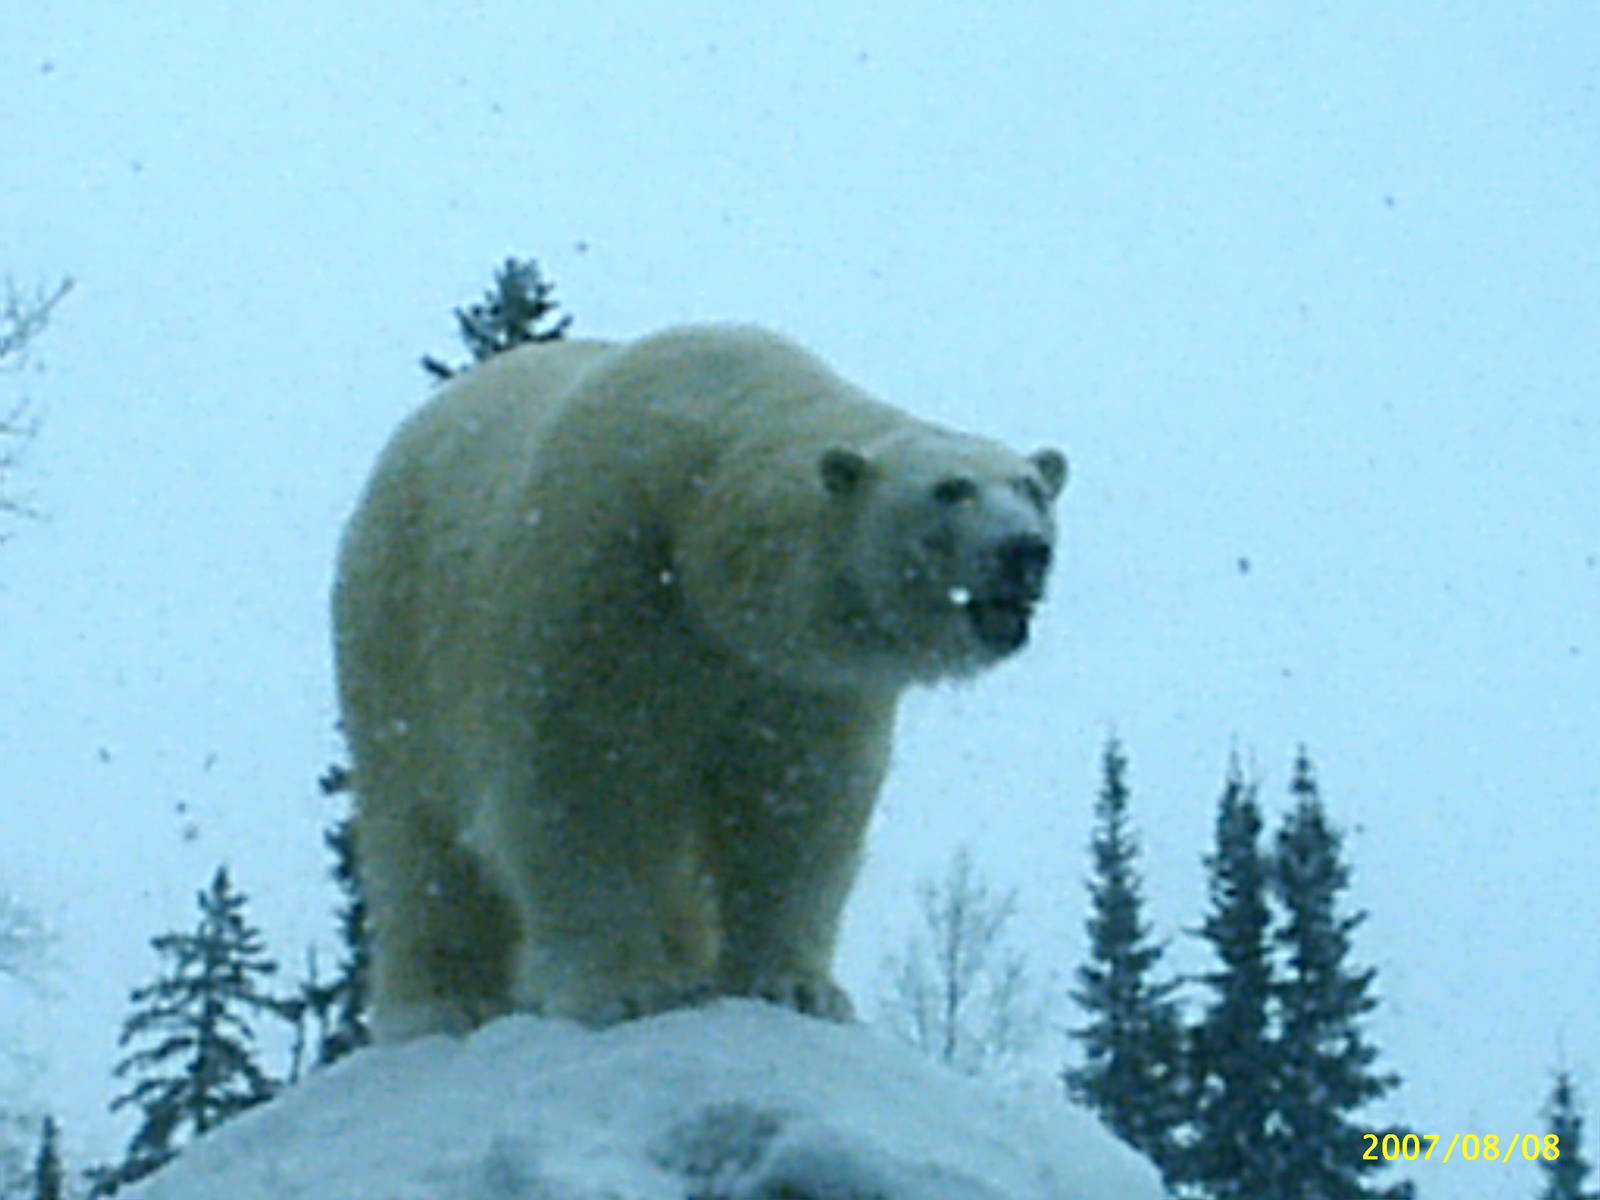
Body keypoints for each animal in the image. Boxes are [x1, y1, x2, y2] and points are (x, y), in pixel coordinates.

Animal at [332, 324, 1067, 1040]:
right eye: (950, 489)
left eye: (1032, 487)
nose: (1025, 552)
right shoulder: (596, 583)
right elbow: (581, 783)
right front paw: (626, 989)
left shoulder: (794, 678)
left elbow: (797, 807)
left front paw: (796, 987)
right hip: (401, 636)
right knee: (418, 838)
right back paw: (444, 1005)